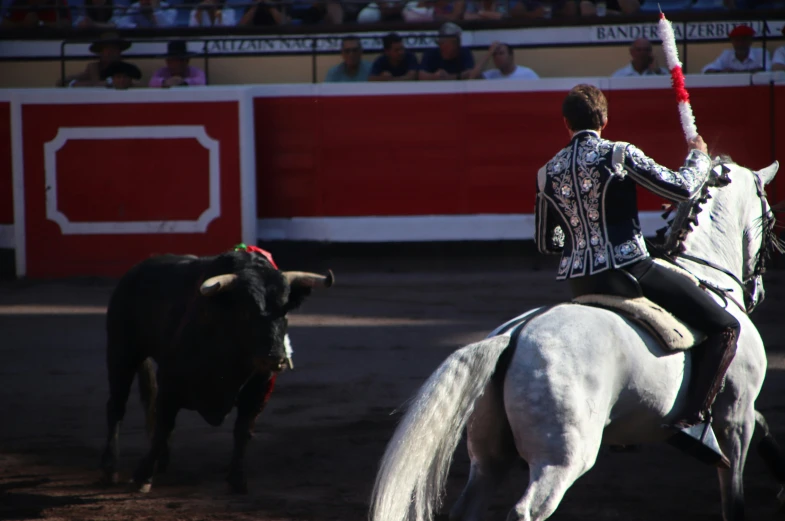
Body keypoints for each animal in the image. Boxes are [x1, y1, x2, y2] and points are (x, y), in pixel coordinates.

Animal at [99, 250, 332, 494]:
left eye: (285, 310)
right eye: (246, 311)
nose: (275, 357)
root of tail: (135, 271)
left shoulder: (259, 389)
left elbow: (243, 429)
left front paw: (237, 479)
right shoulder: (171, 384)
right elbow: (164, 426)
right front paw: (143, 476)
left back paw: (162, 461)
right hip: (121, 351)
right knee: (117, 406)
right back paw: (109, 468)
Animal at [370, 159, 780, 520]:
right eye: (771, 218)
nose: (758, 292)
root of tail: (515, 335)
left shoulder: (732, 415)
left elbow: (763, 424)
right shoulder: (734, 415)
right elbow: (734, 494)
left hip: (488, 456)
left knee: (467, 507)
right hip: (564, 456)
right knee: (526, 510)